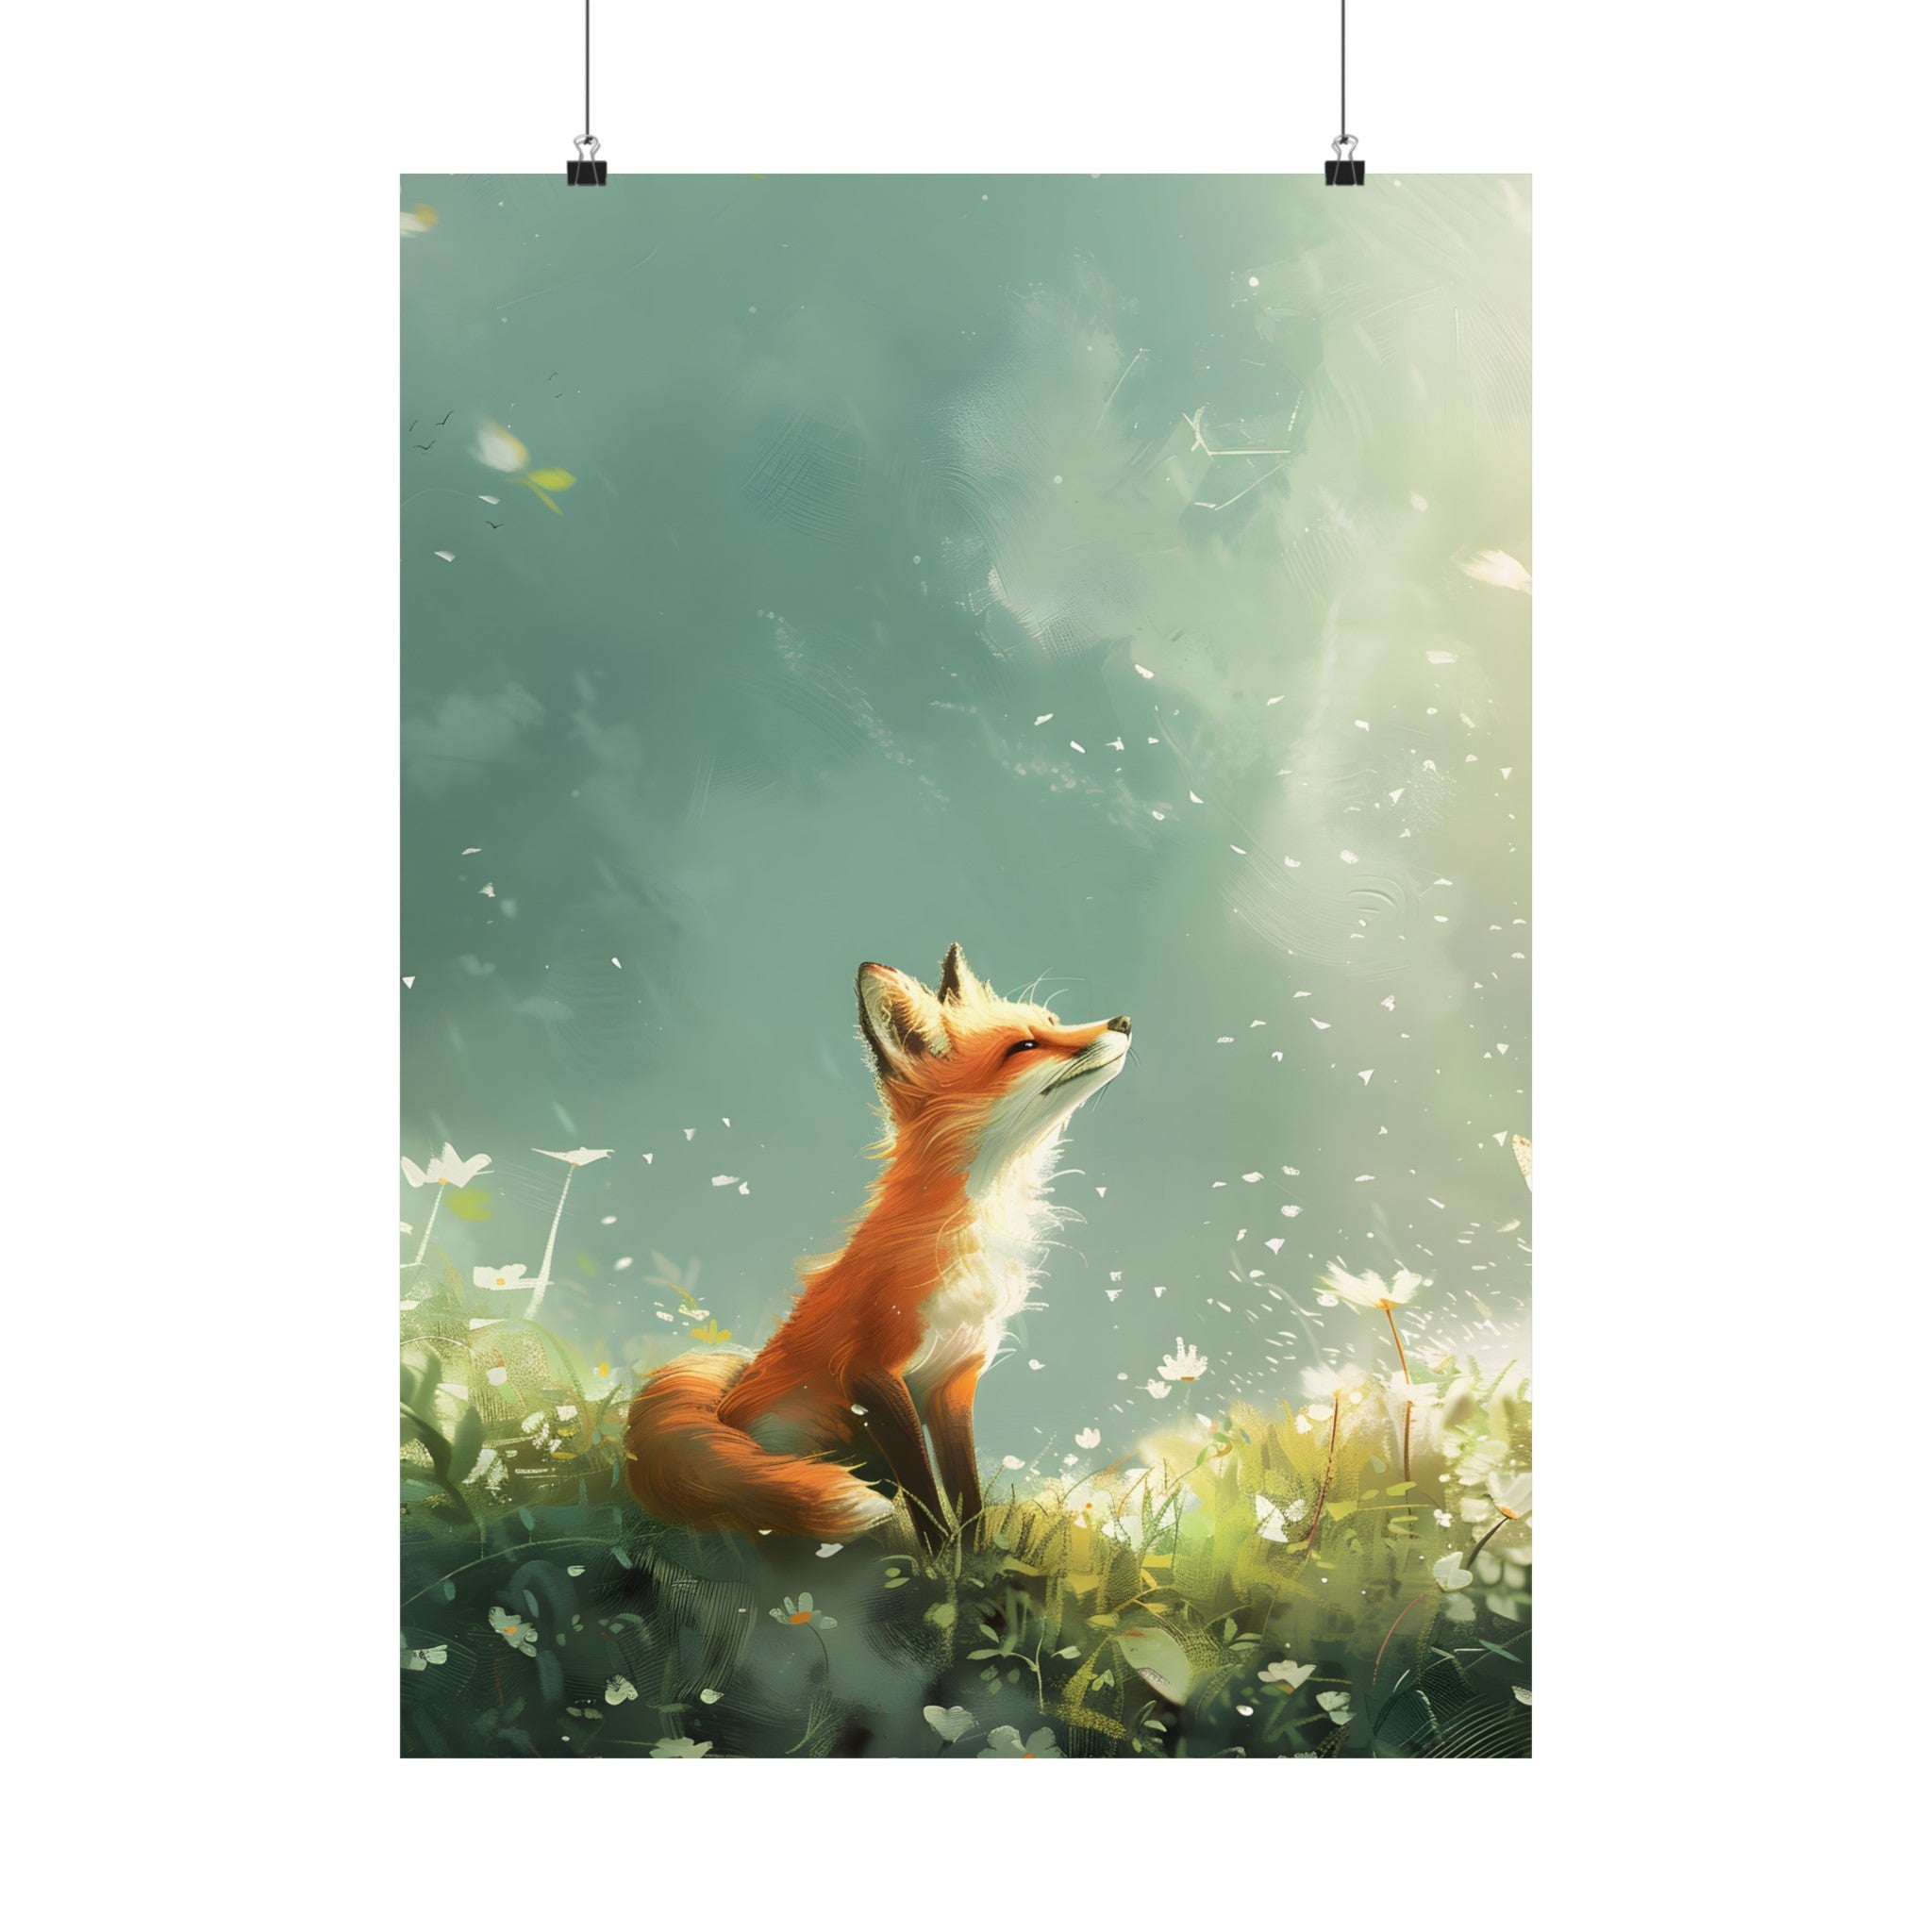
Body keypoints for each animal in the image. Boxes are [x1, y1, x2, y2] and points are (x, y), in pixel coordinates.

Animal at [624, 944, 1131, 1552]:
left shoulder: (955, 1375)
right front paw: (938, 1561)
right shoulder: (871, 1371)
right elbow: (925, 1495)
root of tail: (722, 1405)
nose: (1124, 1021)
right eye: (1024, 1047)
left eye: (1054, 1021)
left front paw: (975, 1558)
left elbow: (967, 1494)